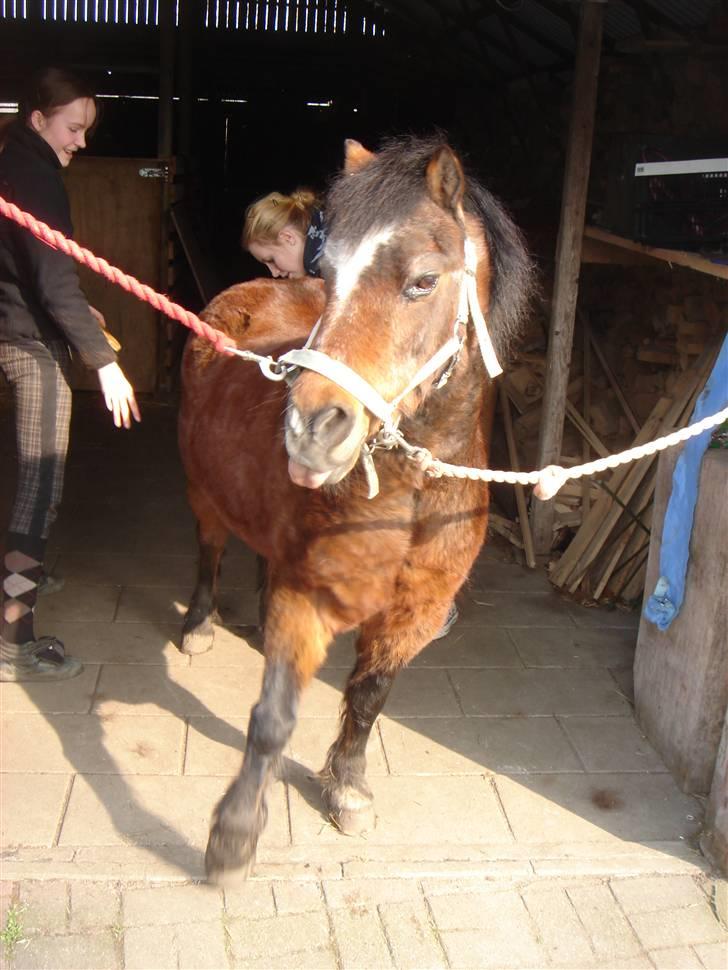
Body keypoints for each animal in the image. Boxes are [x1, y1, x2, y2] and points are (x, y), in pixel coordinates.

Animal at [179, 132, 532, 880]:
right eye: (329, 276)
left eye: (423, 280)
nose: (310, 428)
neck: (417, 489)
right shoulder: (309, 596)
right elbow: (273, 717)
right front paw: (234, 834)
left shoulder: (413, 611)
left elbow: (369, 698)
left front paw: (346, 786)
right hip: (202, 493)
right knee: (210, 550)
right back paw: (198, 623)